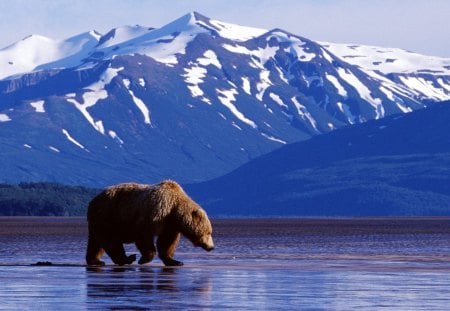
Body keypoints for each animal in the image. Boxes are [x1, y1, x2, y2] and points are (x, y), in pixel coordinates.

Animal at [86, 182, 216, 266]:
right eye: (209, 232)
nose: (212, 247)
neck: (174, 209)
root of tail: (93, 201)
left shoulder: (169, 225)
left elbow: (167, 242)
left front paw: (175, 261)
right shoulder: (155, 213)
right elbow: (143, 235)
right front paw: (145, 258)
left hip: (100, 220)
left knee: (95, 242)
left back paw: (95, 260)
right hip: (109, 216)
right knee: (111, 240)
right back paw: (127, 259)